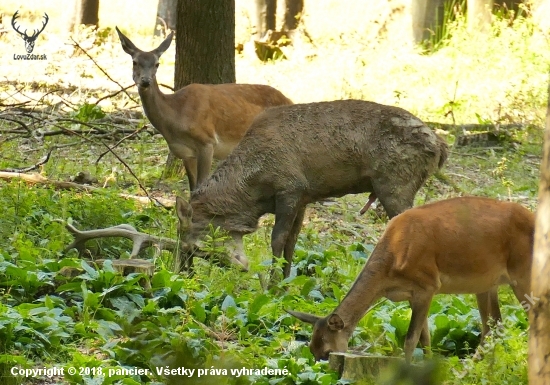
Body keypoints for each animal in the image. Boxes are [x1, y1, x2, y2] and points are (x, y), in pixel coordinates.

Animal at [116, 26, 296, 191]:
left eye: (157, 64)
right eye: (134, 62)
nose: (145, 81)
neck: (176, 117)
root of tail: (290, 100)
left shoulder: (207, 141)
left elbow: (201, 186)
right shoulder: (186, 153)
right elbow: (192, 189)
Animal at [179, 99, 450, 276]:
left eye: (196, 248)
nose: (183, 272)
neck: (254, 191)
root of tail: (440, 146)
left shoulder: (289, 187)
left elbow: (277, 240)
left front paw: (270, 284)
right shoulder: (304, 197)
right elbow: (292, 242)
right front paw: (283, 286)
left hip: (396, 185)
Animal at [288, 196, 536, 362]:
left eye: (328, 352)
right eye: (311, 349)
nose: (321, 364)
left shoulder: (428, 285)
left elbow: (410, 339)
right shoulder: (412, 293)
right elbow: (424, 337)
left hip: (523, 272)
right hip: (486, 282)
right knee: (494, 325)